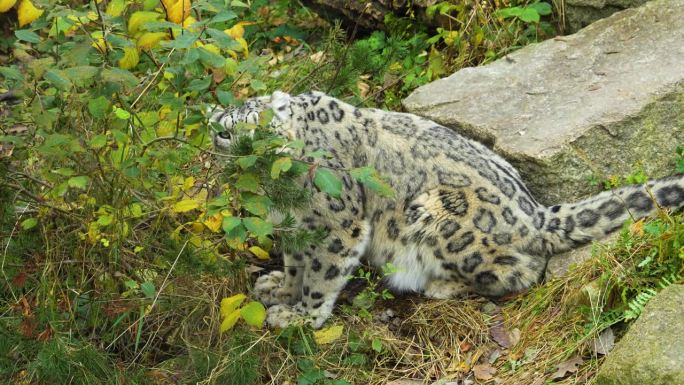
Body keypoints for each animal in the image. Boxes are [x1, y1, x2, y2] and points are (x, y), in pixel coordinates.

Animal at [207, 89, 684, 328]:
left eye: (260, 126)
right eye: (224, 132)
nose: (244, 149)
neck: (276, 189)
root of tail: (535, 211)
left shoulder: (337, 224)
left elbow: (322, 274)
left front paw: (301, 315)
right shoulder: (297, 225)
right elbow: (295, 263)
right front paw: (279, 289)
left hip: (438, 214)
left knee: (525, 270)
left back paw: (435, 284)